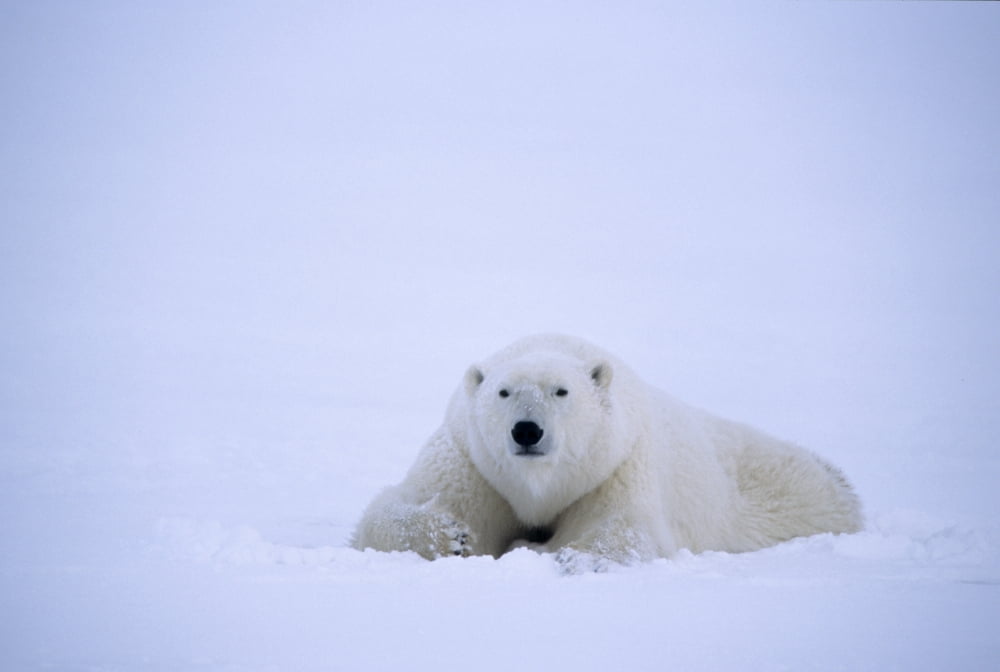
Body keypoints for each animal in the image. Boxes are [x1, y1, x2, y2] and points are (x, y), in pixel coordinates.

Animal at [351, 334, 862, 567]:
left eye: (561, 391)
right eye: (503, 392)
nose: (526, 431)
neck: (539, 488)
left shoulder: (616, 463)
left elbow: (623, 532)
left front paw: (548, 549)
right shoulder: (473, 461)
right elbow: (393, 508)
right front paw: (453, 536)